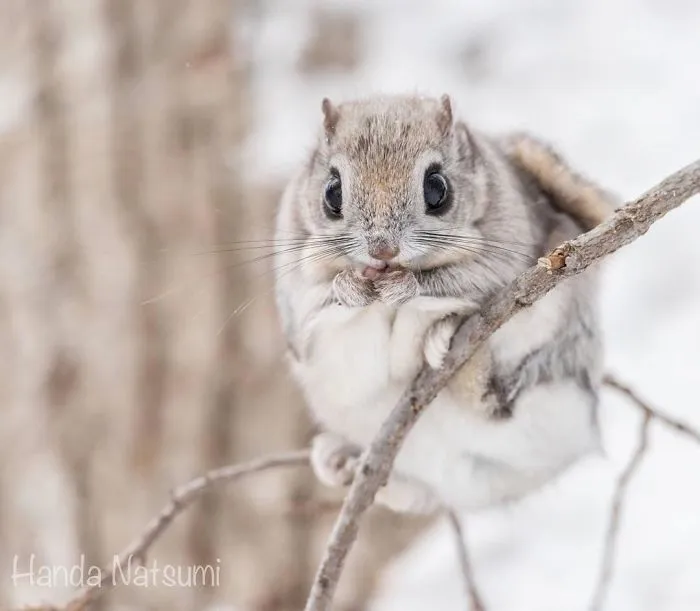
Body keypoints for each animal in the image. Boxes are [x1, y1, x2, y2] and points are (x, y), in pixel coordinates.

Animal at [274, 94, 616, 514]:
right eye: (331, 193)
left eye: (437, 188)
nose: (382, 251)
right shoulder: (304, 306)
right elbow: (333, 317)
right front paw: (350, 287)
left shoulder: (504, 254)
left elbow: (449, 282)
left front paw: (408, 290)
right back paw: (338, 462)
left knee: (493, 401)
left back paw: (452, 344)